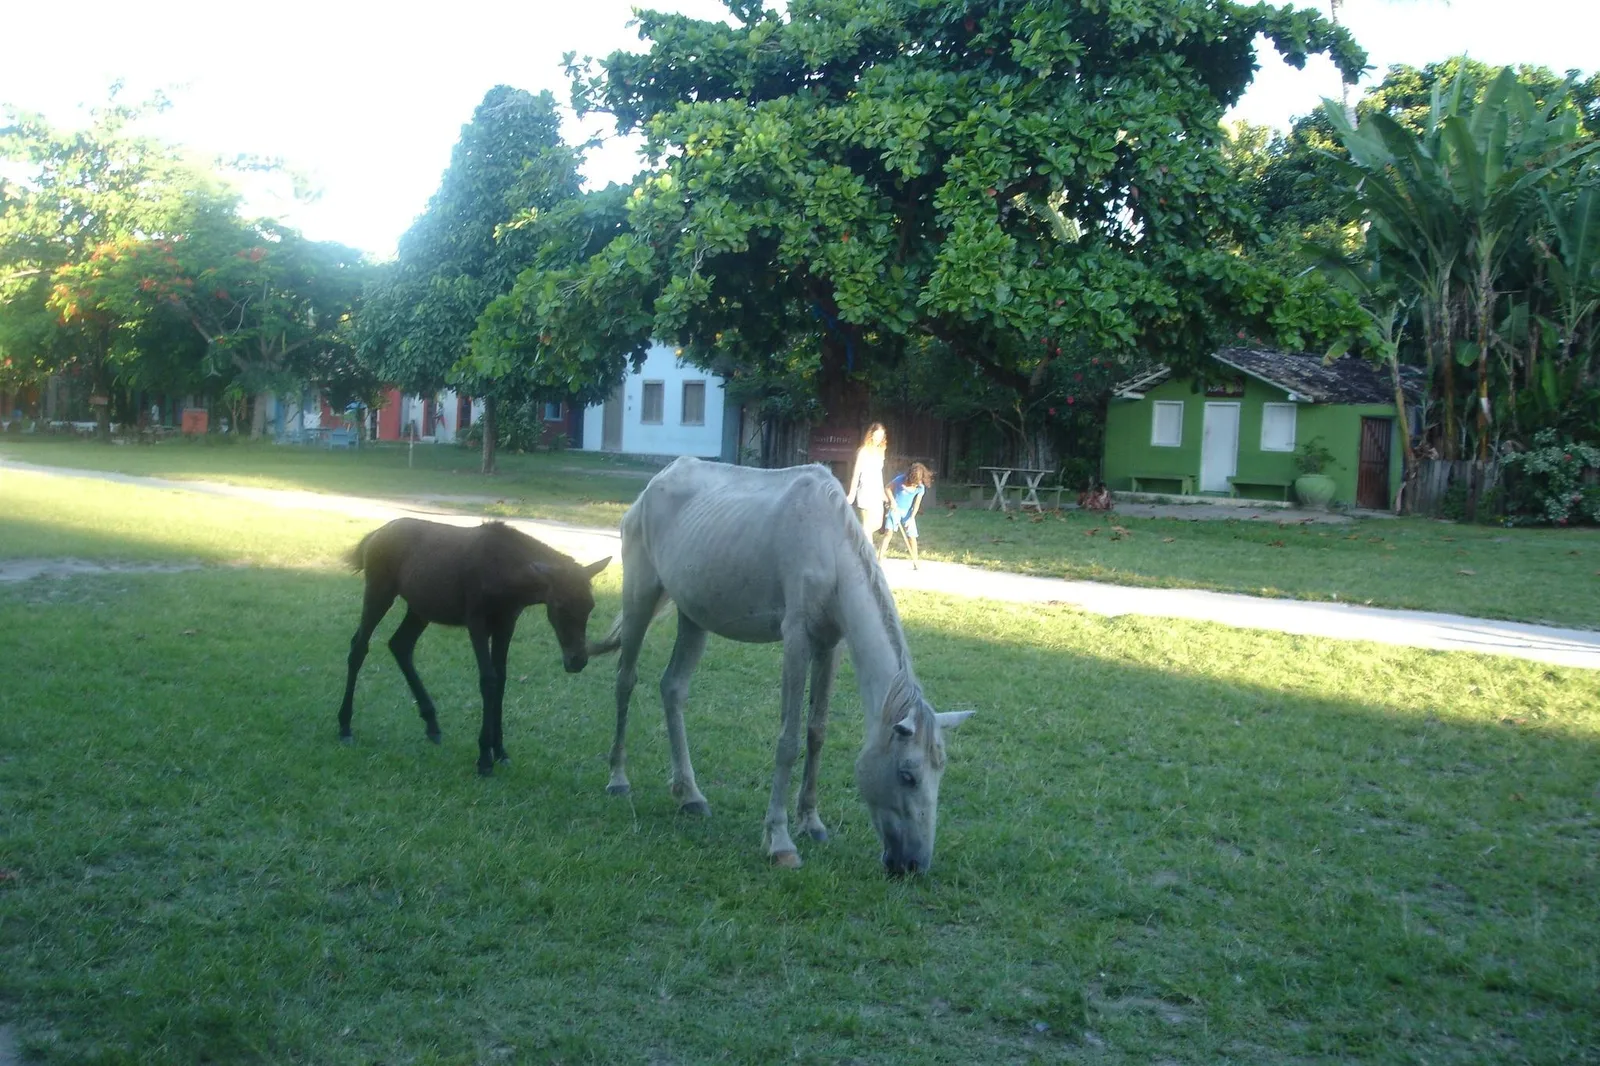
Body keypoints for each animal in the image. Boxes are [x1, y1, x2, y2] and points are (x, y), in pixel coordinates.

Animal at [338, 518, 610, 775]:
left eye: (590, 606)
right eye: (560, 605)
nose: (577, 660)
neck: (509, 577)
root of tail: (374, 535)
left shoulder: (506, 623)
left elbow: (501, 679)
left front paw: (500, 751)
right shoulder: (476, 620)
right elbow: (488, 680)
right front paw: (484, 758)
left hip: (420, 608)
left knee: (400, 645)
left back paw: (432, 724)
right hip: (379, 590)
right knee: (359, 647)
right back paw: (344, 726)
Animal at [588, 457, 974, 876]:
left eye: (941, 771)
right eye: (907, 775)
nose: (915, 864)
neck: (829, 547)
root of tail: (651, 487)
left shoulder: (830, 644)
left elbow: (817, 732)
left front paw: (812, 822)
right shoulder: (796, 639)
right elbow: (788, 740)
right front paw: (780, 841)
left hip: (694, 617)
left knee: (672, 688)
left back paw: (689, 795)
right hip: (639, 597)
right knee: (625, 680)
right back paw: (617, 778)